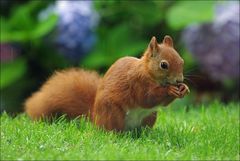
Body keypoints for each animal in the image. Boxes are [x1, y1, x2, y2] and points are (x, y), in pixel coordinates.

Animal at [24, 35, 189, 132]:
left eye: (182, 61)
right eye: (164, 65)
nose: (179, 80)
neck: (147, 71)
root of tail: (95, 117)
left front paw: (184, 89)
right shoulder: (137, 83)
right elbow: (147, 98)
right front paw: (170, 90)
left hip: (150, 116)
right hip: (113, 112)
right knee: (111, 129)